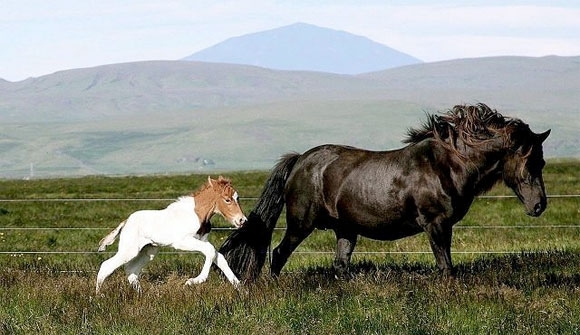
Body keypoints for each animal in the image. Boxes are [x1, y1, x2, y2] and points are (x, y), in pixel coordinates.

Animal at [220, 103, 552, 280]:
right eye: (531, 161)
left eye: (543, 161)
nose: (539, 206)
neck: (447, 165)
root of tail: (300, 159)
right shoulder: (436, 224)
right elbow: (445, 266)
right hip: (302, 223)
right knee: (278, 253)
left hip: (345, 229)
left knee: (340, 265)